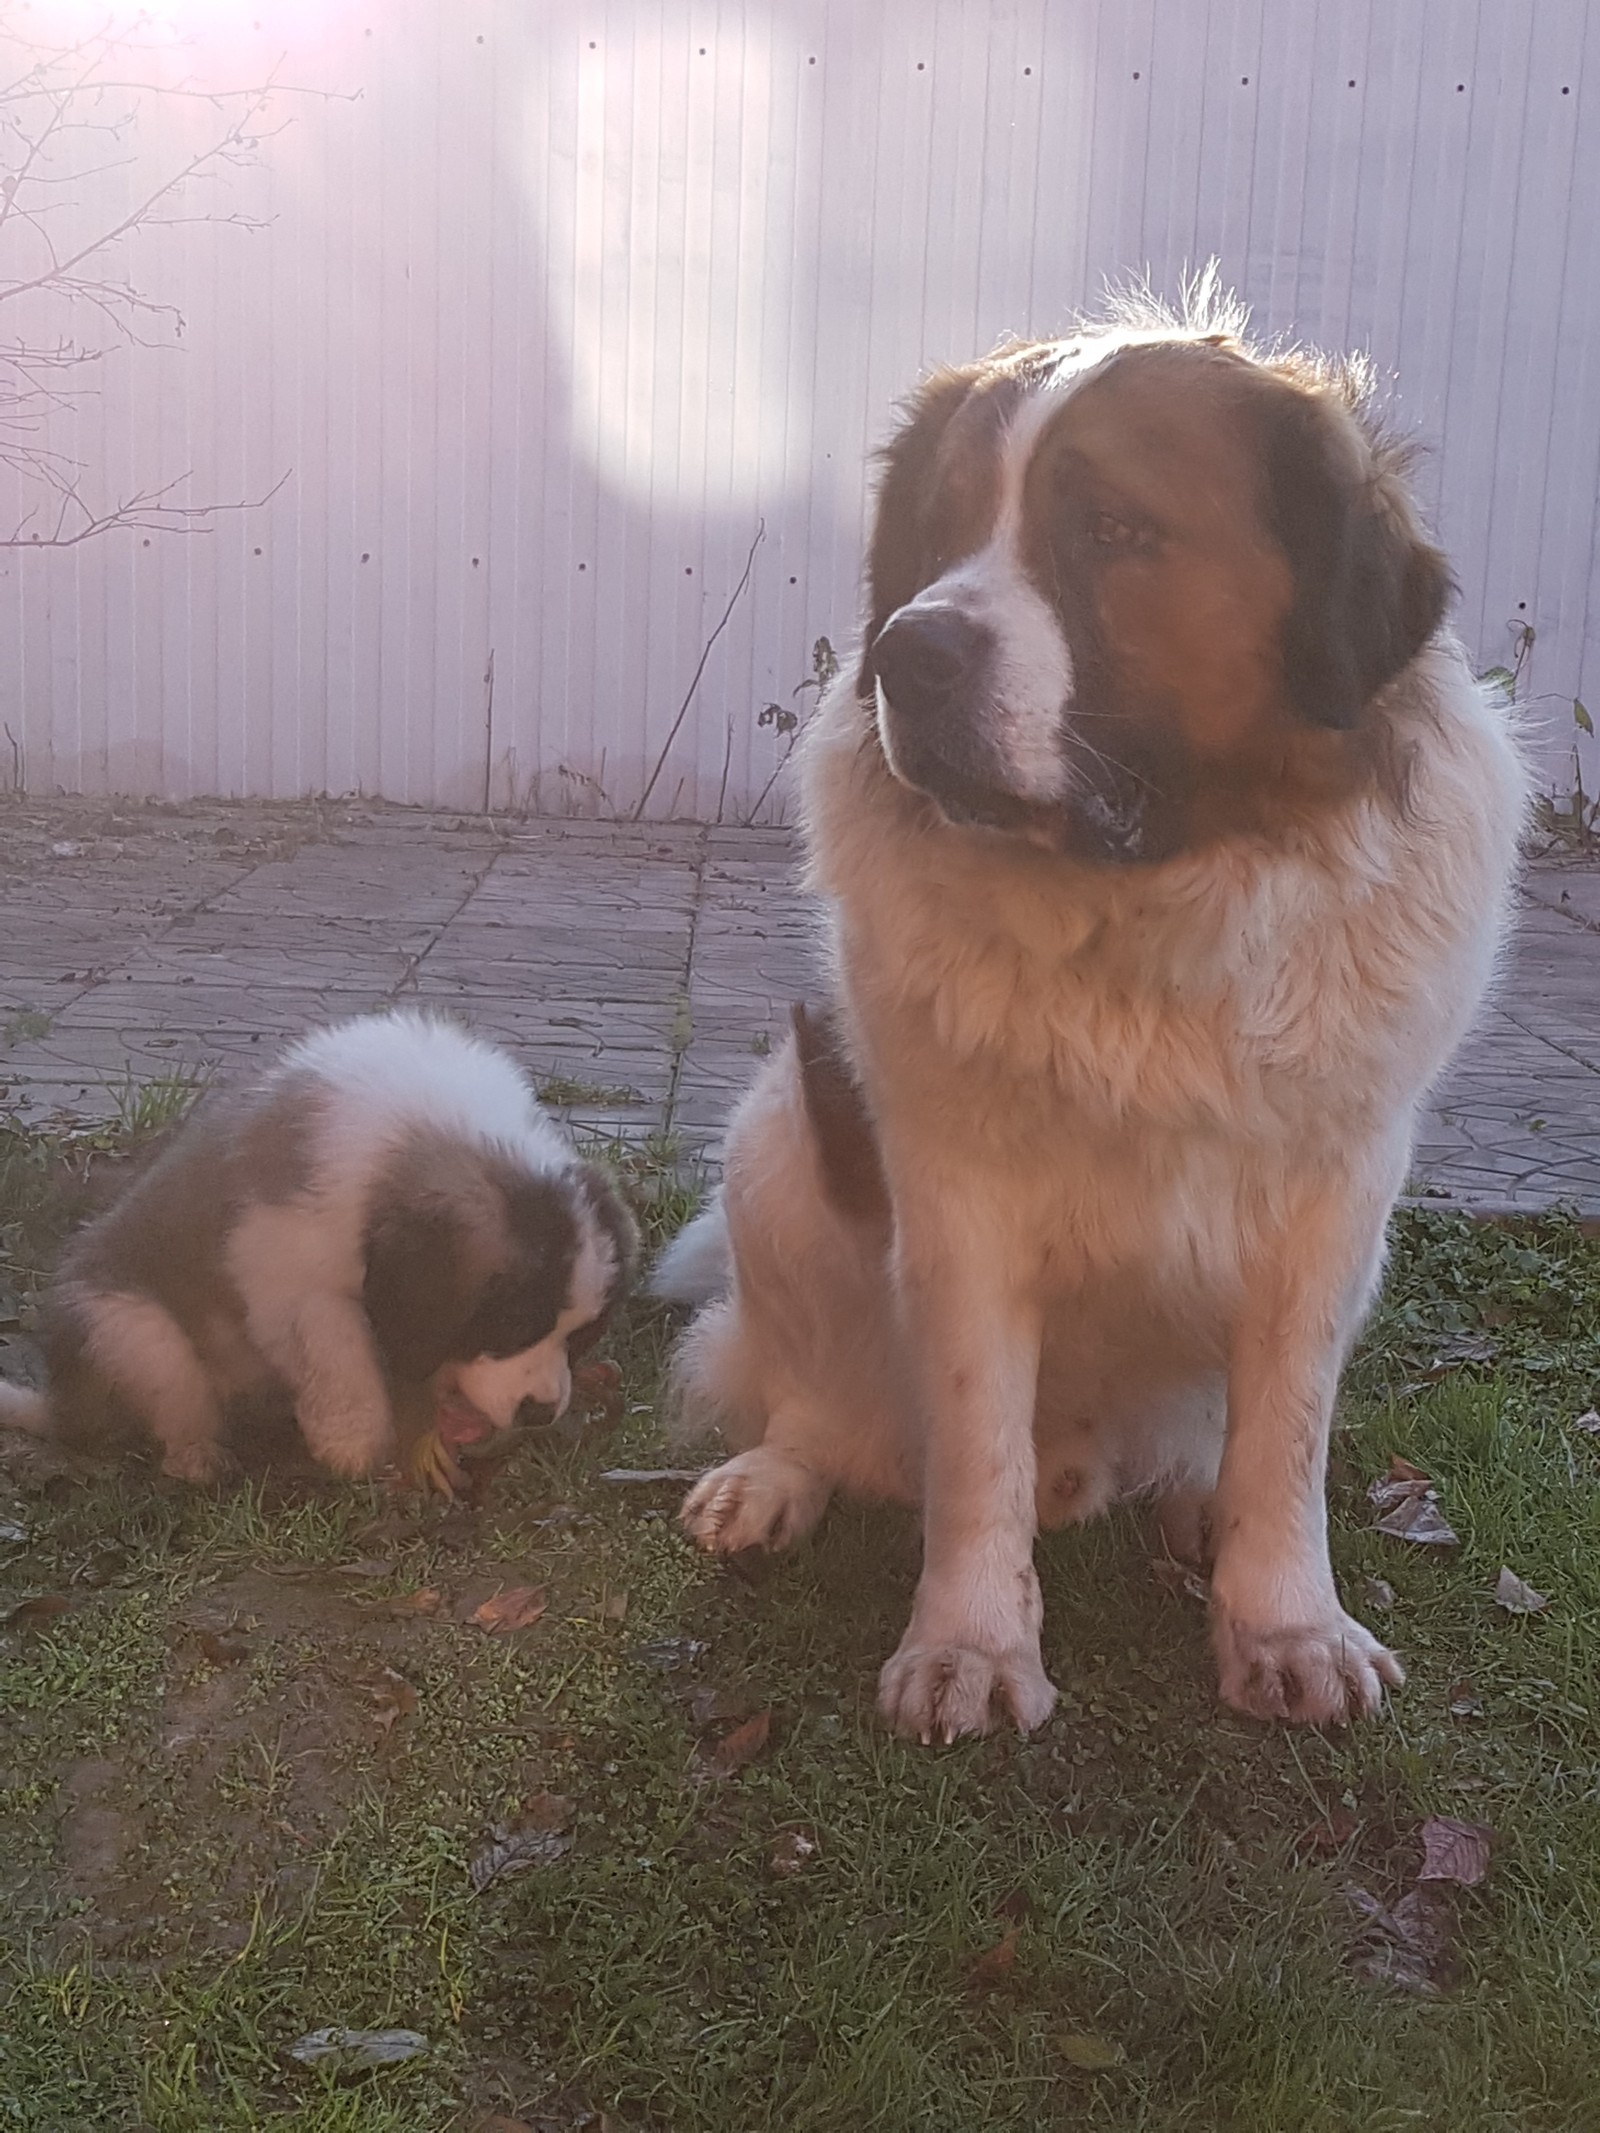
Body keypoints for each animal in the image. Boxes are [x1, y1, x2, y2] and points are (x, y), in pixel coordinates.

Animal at [0, 1011, 640, 1484]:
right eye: (510, 1327)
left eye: (580, 1335)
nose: (541, 1412)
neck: (427, 1140)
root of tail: (63, 1404)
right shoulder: (292, 1278)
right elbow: (338, 1358)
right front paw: (354, 1441)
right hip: (135, 1334)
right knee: (176, 1393)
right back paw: (199, 1459)